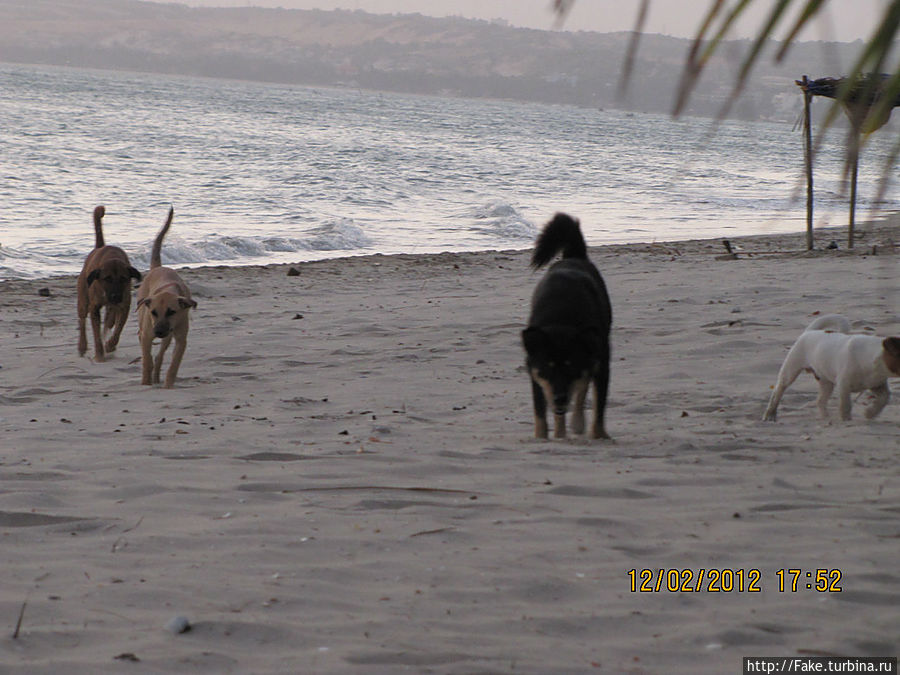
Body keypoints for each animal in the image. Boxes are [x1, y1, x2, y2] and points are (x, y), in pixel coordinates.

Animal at [76, 207, 142, 362]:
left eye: (124, 278)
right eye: (107, 279)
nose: (115, 296)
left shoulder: (124, 305)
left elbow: (118, 328)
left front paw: (110, 345)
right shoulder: (94, 308)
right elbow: (96, 334)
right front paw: (99, 354)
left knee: (110, 321)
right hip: (83, 298)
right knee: (82, 319)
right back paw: (82, 345)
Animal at [135, 206, 197, 388]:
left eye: (172, 311)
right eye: (153, 312)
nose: (159, 331)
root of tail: (158, 267)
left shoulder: (181, 339)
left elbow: (174, 364)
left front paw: (168, 384)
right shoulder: (147, 335)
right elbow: (146, 360)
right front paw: (145, 382)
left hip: (168, 337)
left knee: (160, 356)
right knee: (149, 354)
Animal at [520, 214, 612, 440]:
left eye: (570, 366)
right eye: (548, 366)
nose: (560, 398)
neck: (561, 321)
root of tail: (573, 256)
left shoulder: (600, 363)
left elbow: (598, 406)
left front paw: (599, 435)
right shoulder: (535, 371)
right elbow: (540, 412)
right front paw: (542, 438)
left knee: (582, 390)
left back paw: (577, 422)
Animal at [764, 314, 900, 420]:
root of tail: (809, 331)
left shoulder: (877, 385)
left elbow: (884, 398)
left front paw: (870, 413)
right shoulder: (844, 386)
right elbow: (845, 407)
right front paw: (846, 421)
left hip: (825, 382)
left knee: (820, 401)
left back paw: (825, 418)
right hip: (790, 371)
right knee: (778, 392)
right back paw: (770, 415)